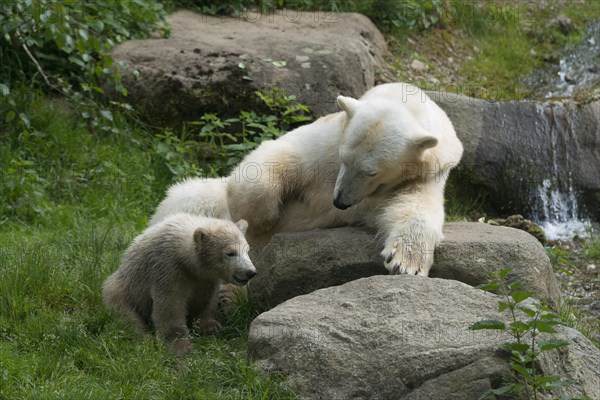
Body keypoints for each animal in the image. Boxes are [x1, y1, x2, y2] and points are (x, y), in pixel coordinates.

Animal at [101, 212, 255, 354]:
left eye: (247, 250)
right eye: (230, 253)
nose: (250, 272)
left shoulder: (204, 278)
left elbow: (205, 299)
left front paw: (210, 327)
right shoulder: (167, 268)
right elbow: (170, 304)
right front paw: (180, 345)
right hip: (123, 289)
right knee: (127, 315)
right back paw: (142, 335)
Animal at [226, 81, 464, 276]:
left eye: (371, 172)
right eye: (344, 158)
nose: (340, 202)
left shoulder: (424, 174)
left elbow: (415, 207)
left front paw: (404, 262)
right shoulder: (328, 142)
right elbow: (278, 154)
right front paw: (260, 218)